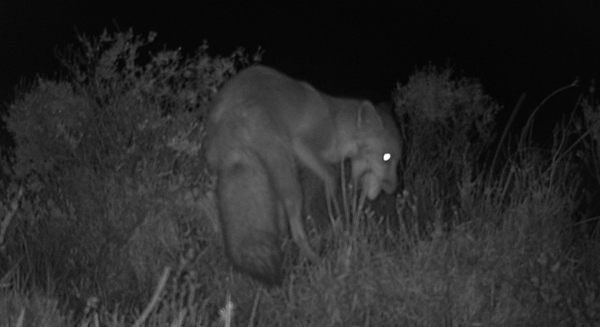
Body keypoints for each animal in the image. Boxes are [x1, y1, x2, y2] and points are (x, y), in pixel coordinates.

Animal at [204, 65, 400, 286]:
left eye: (396, 160)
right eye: (386, 157)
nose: (396, 188)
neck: (335, 125)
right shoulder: (302, 144)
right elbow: (331, 176)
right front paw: (336, 215)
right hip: (291, 182)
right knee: (298, 233)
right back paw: (319, 262)